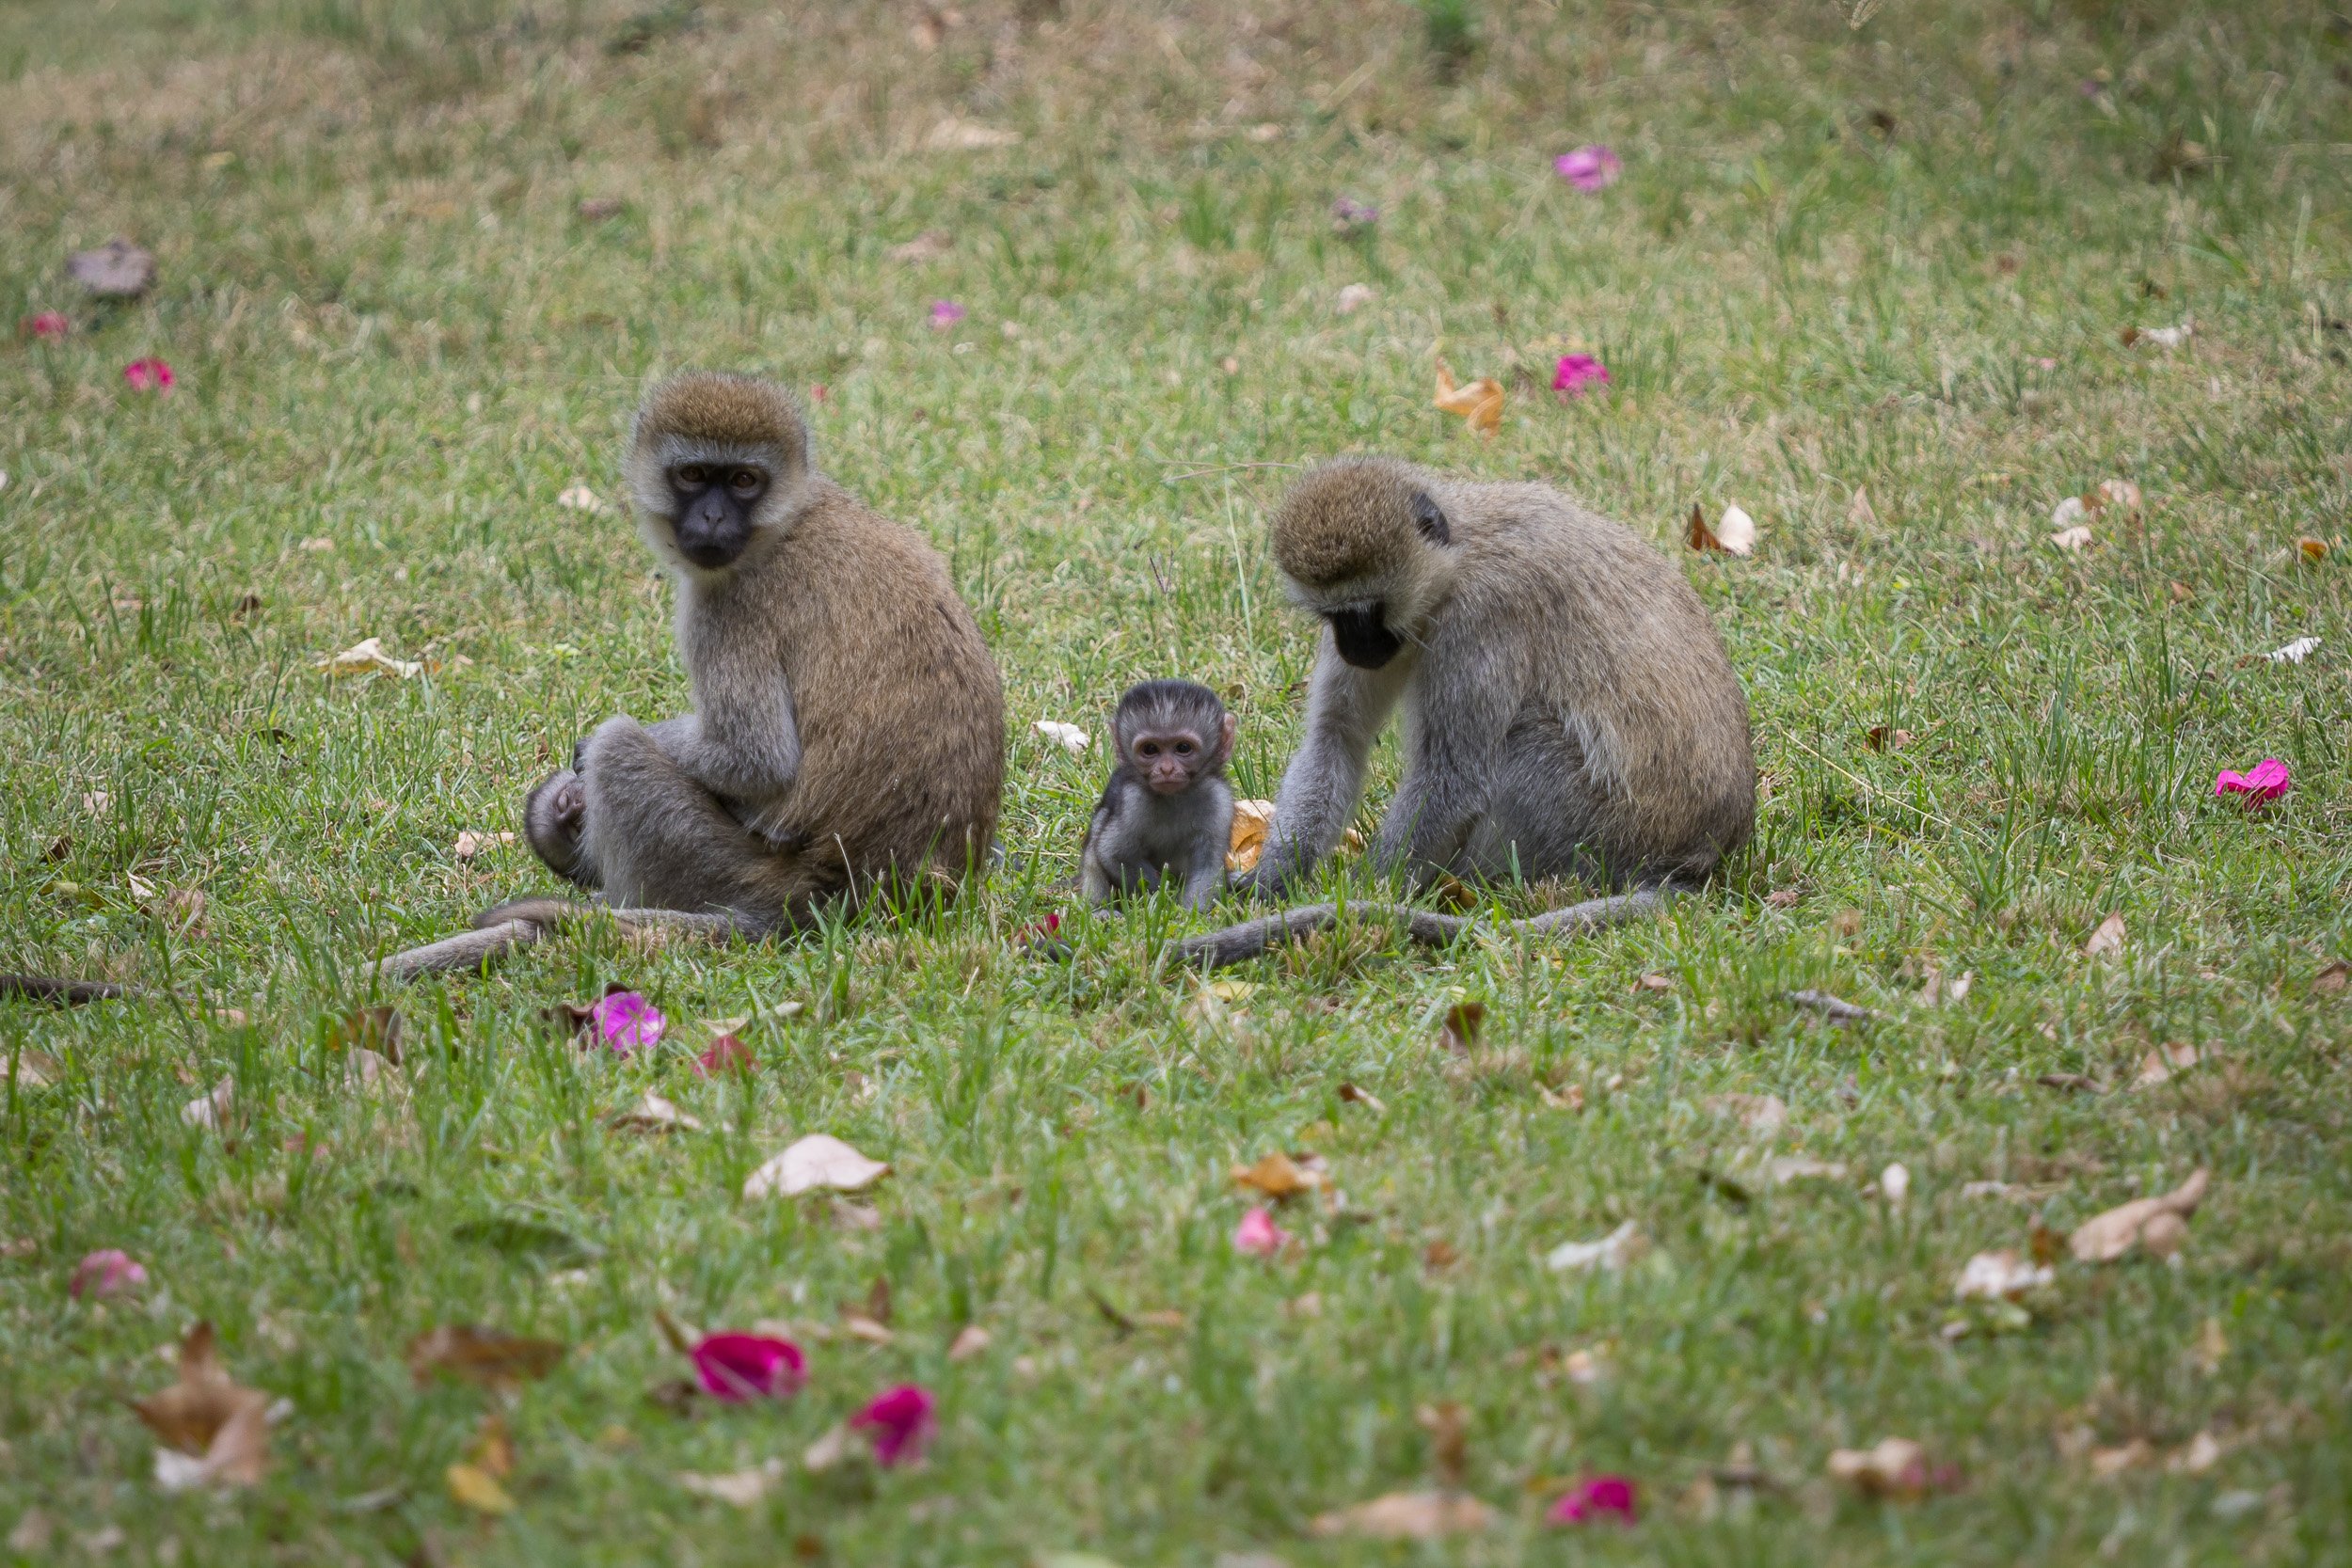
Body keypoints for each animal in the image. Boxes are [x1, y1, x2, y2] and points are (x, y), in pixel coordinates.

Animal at [373, 371, 1005, 979]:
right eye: (695, 475)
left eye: (744, 481)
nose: (713, 516)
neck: (788, 521)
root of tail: (842, 895)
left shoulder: (726, 611)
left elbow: (757, 758)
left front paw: (590, 759)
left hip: (721, 867)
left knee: (620, 750)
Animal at [1079, 680, 1237, 913]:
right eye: (1150, 749)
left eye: (1183, 747)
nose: (1166, 769)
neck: (1175, 798)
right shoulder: (1133, 799)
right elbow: (1113, 852)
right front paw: (1159, 899)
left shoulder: (1219, 799)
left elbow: (1208, 863)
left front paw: (1189, 914)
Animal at [1179, 456, 1753, 970]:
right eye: (1333, 616)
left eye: (1369, 610)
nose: (1352, 648)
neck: (1458, 558)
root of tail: (1696, 860)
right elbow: (1337, 736)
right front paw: (1273, 880)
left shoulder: (1481, 617)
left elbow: (1453, 773)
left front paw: (1367, 893)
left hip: (1597, 832)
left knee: (1527, 742)